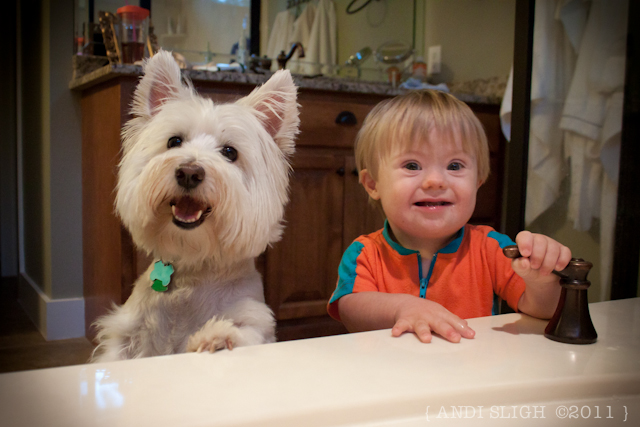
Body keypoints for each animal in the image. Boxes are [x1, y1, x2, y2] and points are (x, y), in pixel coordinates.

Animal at [90, 51, 300, 364]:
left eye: (230, 152)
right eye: (174, 141)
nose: (189, 172)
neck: (195, 270)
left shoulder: (256, 322)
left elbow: (244, 333)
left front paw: (217, 337)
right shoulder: (125, 338)